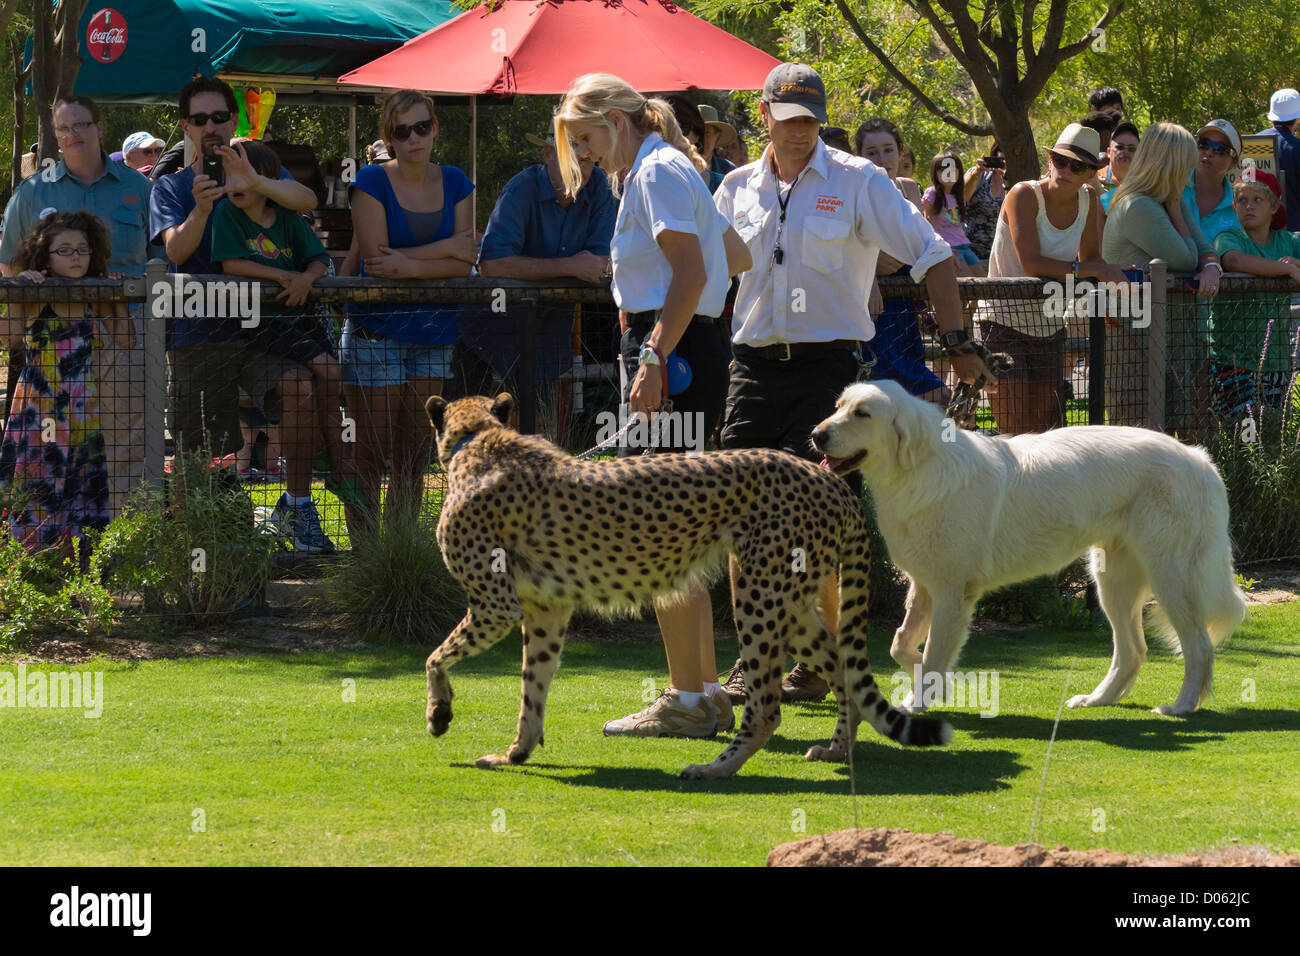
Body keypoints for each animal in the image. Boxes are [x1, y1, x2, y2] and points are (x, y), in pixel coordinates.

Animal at [426, 392, 956, 780]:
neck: (479, 437)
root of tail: (829, 481)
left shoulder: (497, 605)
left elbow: (436, 657)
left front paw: (439, 714)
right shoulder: (544, 612)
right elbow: (531, 689)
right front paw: (516, 752)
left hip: (760, 596)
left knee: (767, 709)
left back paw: (715, 768)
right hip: (793, 603)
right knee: (843, 671)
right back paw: (835, 750)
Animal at [811, 382, 1248, 717]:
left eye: (863, 414)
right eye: (838, 407)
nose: (816, 434)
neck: (917, 472)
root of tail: (1198, 457)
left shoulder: (952, 593)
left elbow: (934, 653)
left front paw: (922, 700)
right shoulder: (925, 587)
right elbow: (901, 643)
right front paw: (926, 683)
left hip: (1168, 578)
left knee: (1199, 646)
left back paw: (1182, 707)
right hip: (1111, 582)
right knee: (1133, 651)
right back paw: (1097, 700)